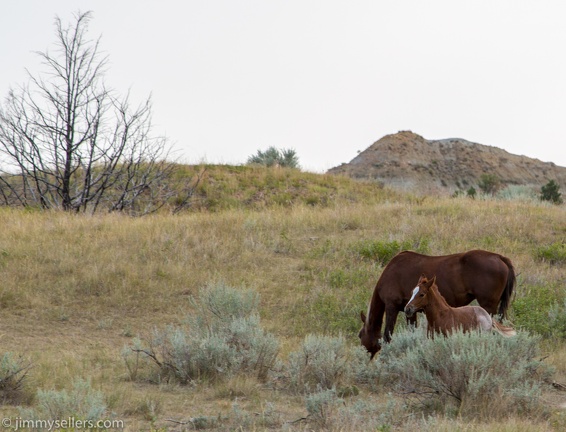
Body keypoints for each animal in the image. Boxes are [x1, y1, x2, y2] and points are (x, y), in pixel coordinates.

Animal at [362, 250, 516, 358]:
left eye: (360, 335)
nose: (366, 357)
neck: (390, 272)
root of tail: (499, 257)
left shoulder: (392, 307)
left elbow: (387, 335)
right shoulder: (410, 312)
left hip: (488, 306)